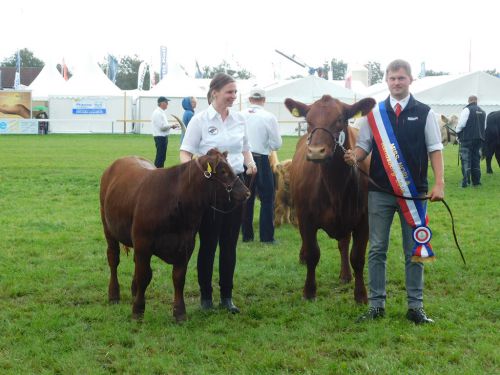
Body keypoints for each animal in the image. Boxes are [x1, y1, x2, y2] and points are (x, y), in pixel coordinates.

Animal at [99, 148, 250, 322]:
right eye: (223, 171)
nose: (247, 192)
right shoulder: (143, 243)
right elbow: (144, 275)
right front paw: (138, 310)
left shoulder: (186, 245)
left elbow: (178, 278)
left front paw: (179, 312)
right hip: (108, 227)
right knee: (113, 259)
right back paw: (114, 295)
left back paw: (133, 290)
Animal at [286, 95, 376, 304]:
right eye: (309, 121)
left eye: (340, 119)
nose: (316, 151)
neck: (335, 185)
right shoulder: (306, 218)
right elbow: (313, 253)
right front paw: (309, 291)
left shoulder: (363, 220)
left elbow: (357, 257)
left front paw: (361, 295)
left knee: (343, 243)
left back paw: (345, 274)